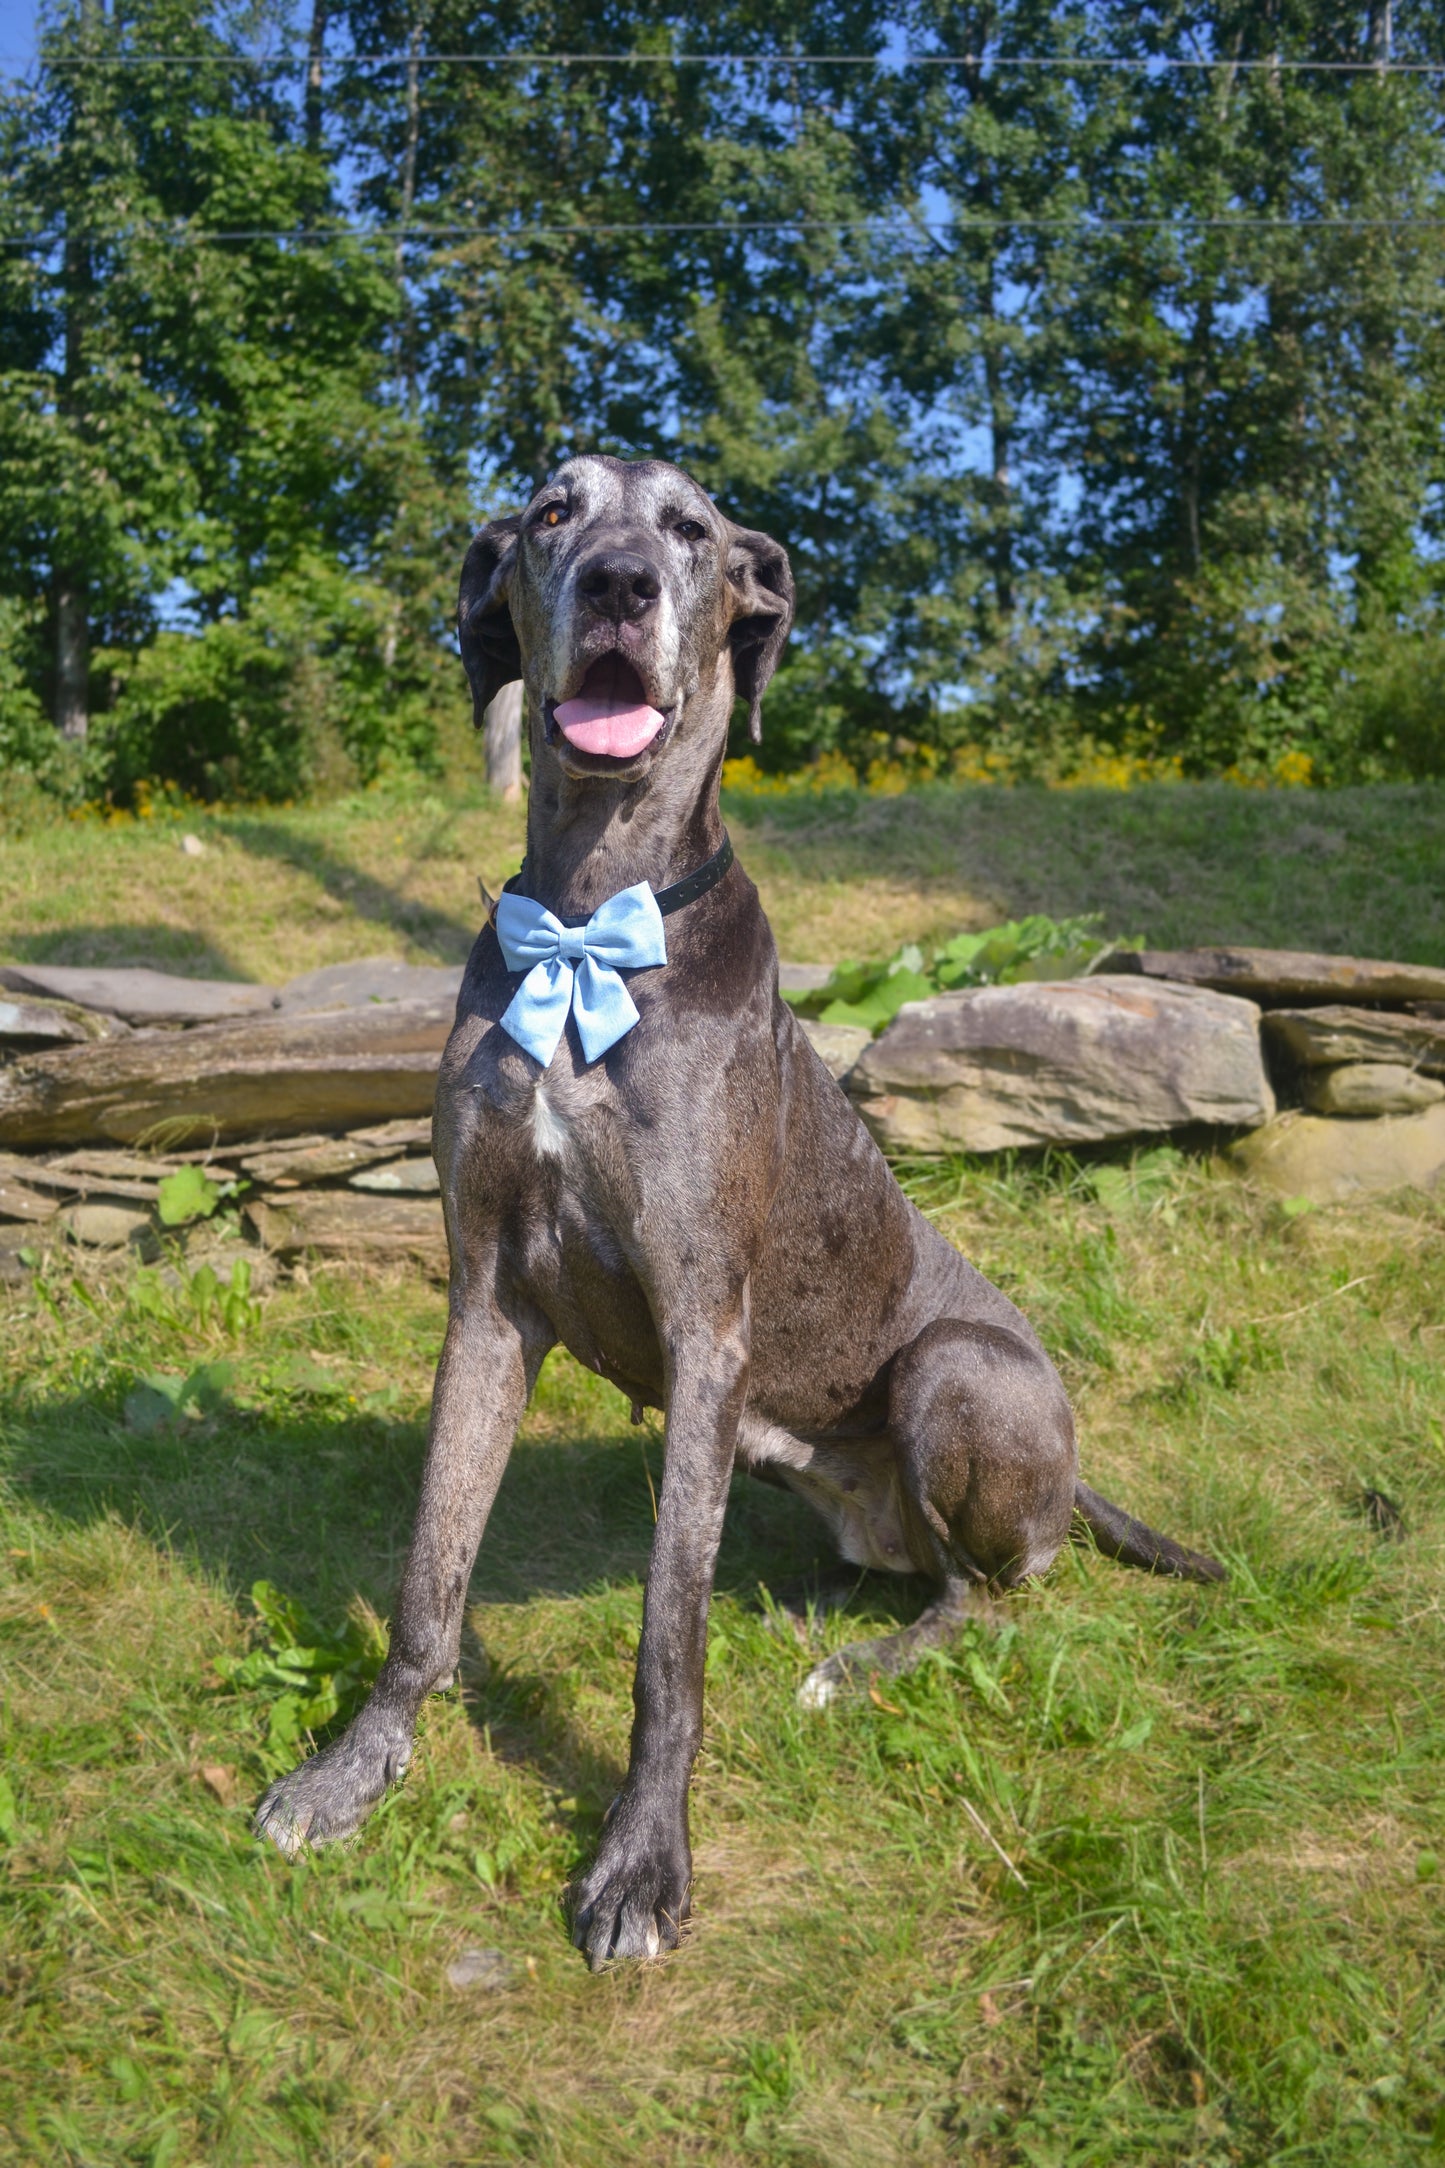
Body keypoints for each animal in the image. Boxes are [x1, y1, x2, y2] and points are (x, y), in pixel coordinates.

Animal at [254, 453, 1230, 1968]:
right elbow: (428, 1576)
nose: (617, 584)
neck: (593, 914)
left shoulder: (703, 1327)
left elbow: (668, 1640)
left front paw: (641, 1860)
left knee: (984, 1593)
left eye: (692, 530)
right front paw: (356, 1768)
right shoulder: (484, 1299)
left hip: (954, 1372)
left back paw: (860, 1663)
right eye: (551, 510)